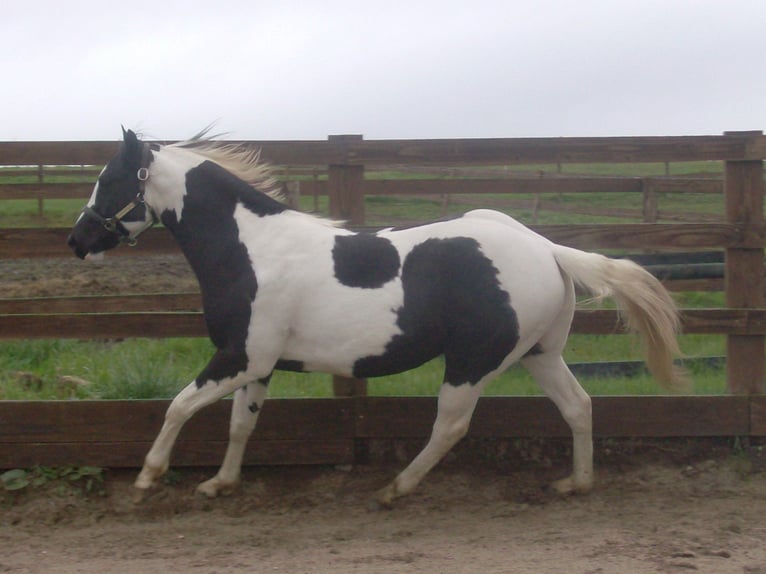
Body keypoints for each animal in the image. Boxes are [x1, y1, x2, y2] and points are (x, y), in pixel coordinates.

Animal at [67, 128, 687, 506]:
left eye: (109, 179)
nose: (77, 241)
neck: (251, 251)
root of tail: (549, 249)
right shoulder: (258, 365)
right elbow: (242, 424)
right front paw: (220, 483)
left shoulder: (239, 356)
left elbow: (177, 406)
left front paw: (148, 476)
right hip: (539, 355)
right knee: (579, 406)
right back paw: (575, 483)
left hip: (471, 362)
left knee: (451, 426)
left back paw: (396, 488)